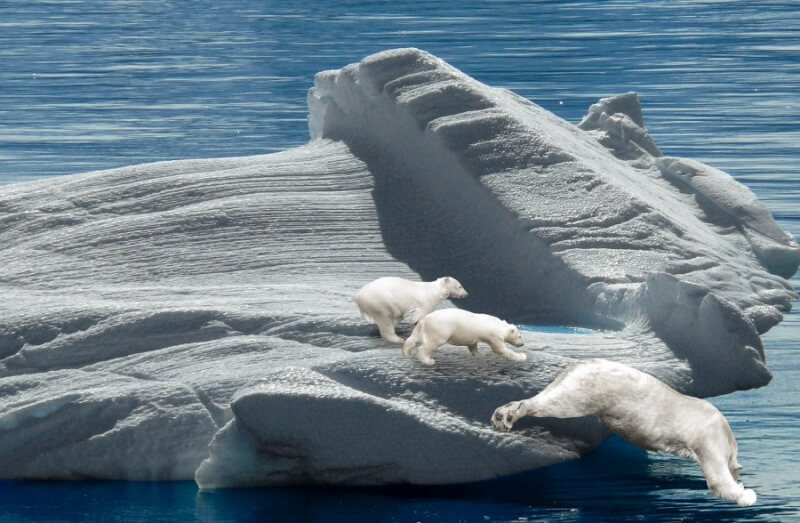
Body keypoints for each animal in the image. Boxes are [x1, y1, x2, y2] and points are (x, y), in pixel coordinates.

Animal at [490, 360, 760, 508]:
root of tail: (582, 363)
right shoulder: (707, 439)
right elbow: (719, 481)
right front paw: (746, 495)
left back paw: (500, 416)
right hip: (585, 393)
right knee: (551, 403)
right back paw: (509, 416)